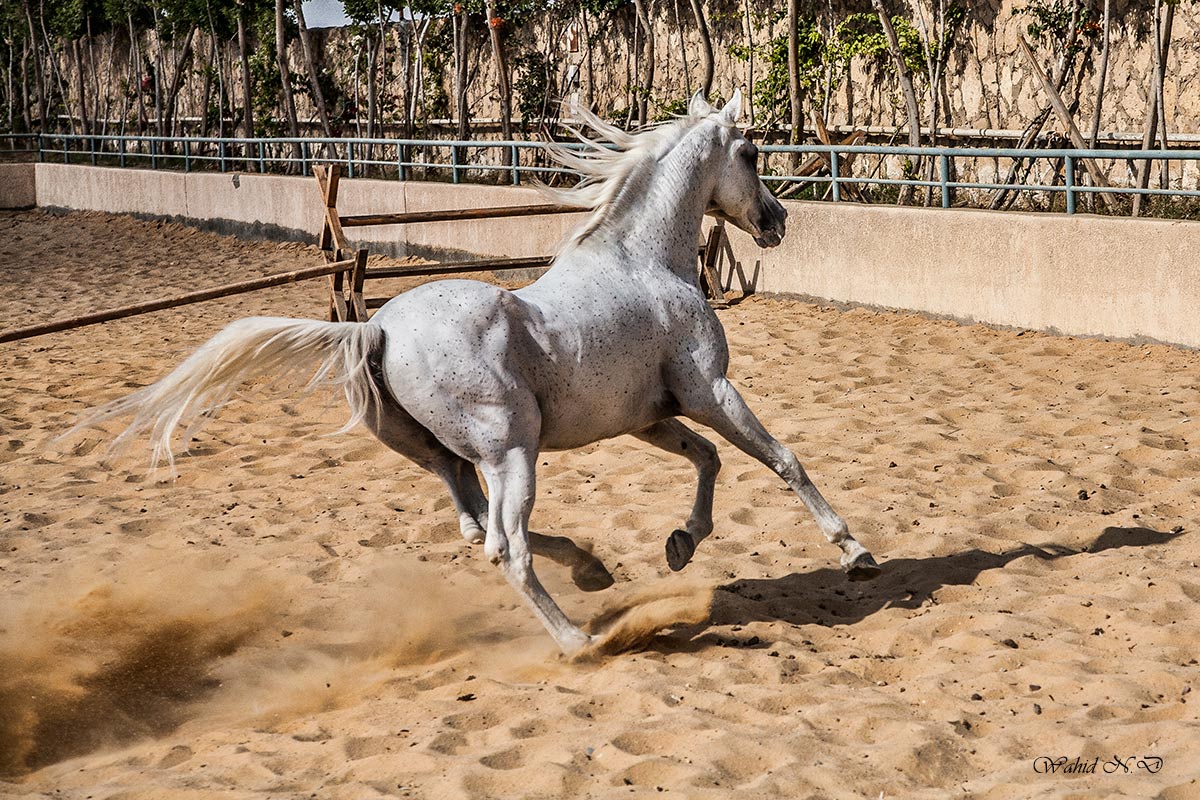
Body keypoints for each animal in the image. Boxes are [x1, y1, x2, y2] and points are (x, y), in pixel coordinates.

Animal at [77, 92, 883, 657]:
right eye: (749, 151)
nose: (777, 222)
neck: (645, 261)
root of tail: (378, 327)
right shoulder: (709, 391)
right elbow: (781, 459)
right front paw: (857, 554)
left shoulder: (650, 416)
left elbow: (709, 460)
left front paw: (681, 544)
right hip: (512, 449)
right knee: (507, 549)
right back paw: (581, 640)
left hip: (453, 459)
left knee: (477, 530)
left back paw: (592, 571)